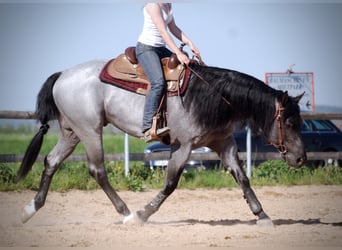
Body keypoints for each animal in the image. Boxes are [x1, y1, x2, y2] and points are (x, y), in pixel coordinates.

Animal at [16, 59, 306, 225]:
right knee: (97, 170)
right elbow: (170, 184)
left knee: (51, 161)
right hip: (90, 130)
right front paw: (143, 214)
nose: (301, 158)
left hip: (72, 132)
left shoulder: (223, 143)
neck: (211, 95)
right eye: (290, 122)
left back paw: (31, 209)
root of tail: (63, 74)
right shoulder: (183, 146)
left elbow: (242, 178)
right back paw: (126, 213)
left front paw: (262, 215)